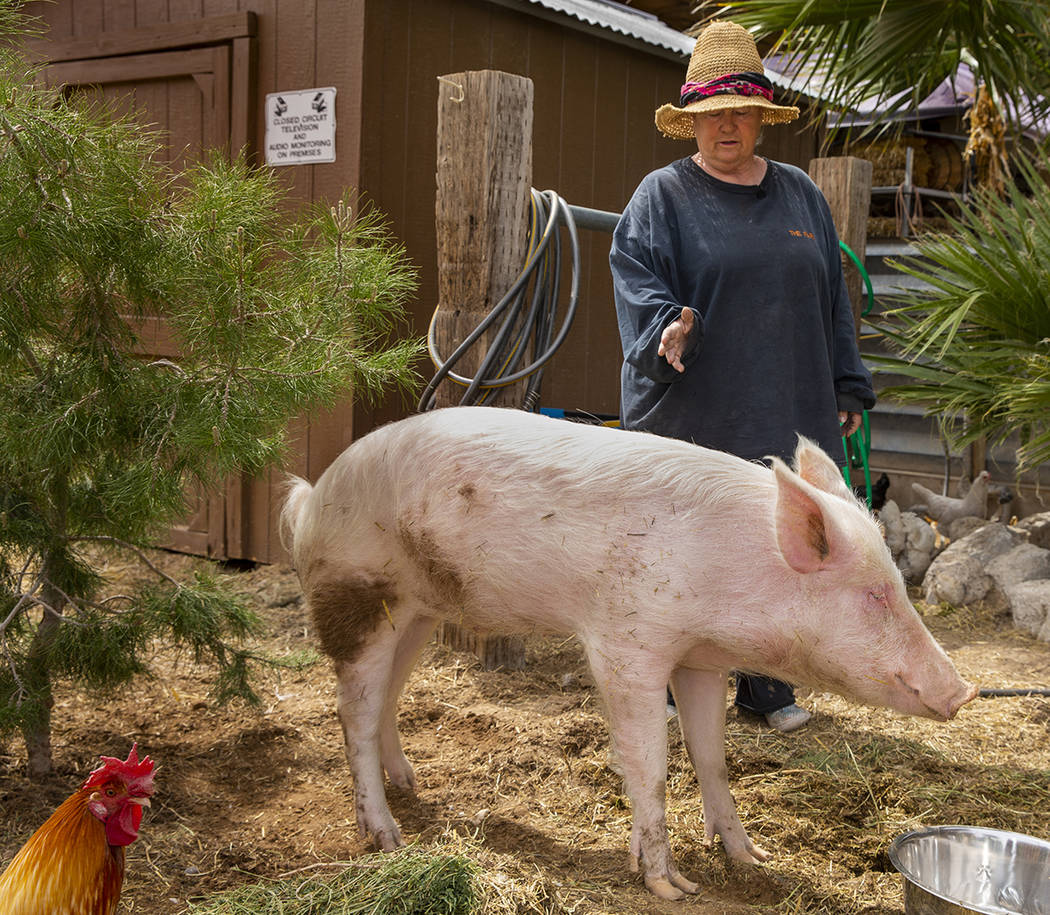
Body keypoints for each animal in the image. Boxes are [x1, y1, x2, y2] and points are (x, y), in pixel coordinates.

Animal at [280, 406, 977, 900]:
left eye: (896, 583)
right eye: (875, 593)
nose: (964, 690)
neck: (732, 577)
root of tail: (312, 496)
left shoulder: (701, 658)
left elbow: (712, 759)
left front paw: (752, 858)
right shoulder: (628, 641)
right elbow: (650, 765)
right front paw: (672, 887)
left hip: (420, 611)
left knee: (388, 696)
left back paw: (409, 783)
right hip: (356, 594)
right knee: (353, 711)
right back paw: (387, 837)